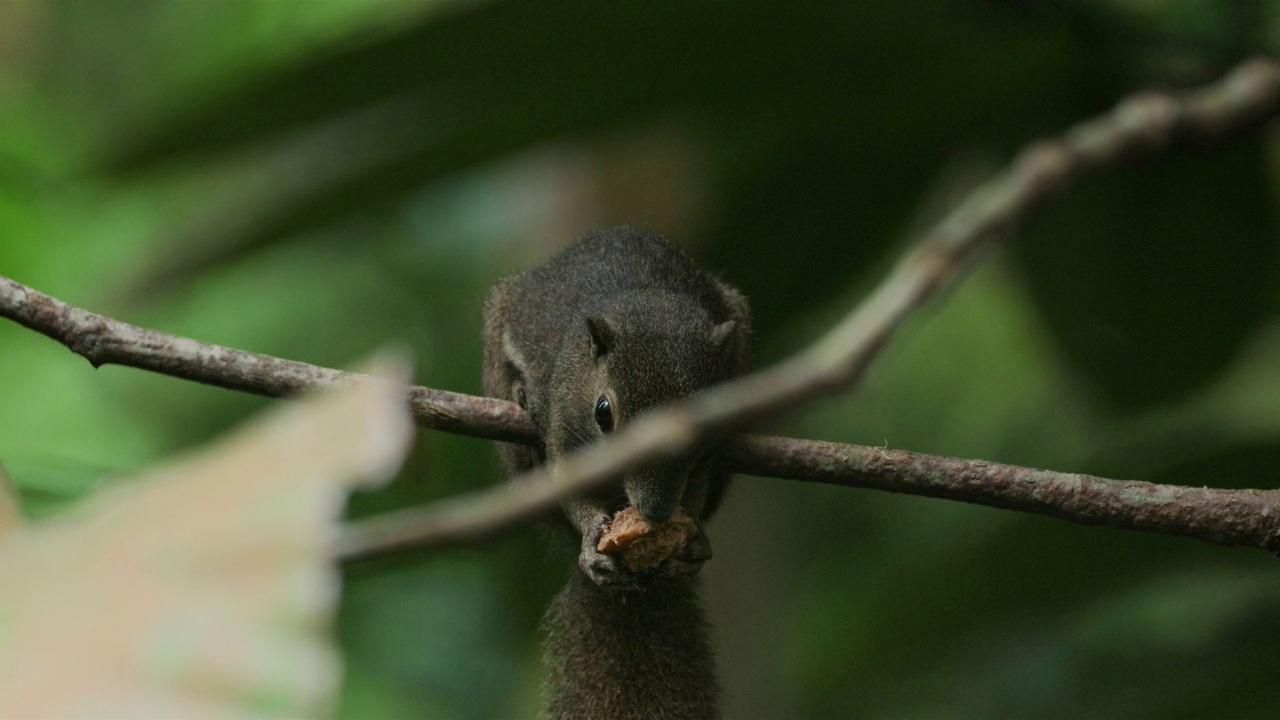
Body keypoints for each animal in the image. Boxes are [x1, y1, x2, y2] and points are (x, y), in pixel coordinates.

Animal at [483, 225, 752, 717]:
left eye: (707, 421)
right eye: (602, 413)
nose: (656, 512)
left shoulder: (706, 460)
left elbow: (697, 486)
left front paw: (688, 537)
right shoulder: (563, 425)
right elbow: (566, 481)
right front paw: (593, 541)